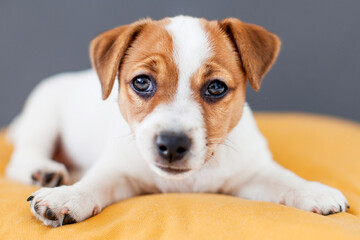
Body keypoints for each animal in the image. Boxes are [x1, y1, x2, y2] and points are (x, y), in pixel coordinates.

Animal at [4, 15, 348, 227]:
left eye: (216, 88)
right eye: (142, 82)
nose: (172, 144)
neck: (186, 181)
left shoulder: (252, 173)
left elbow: (283, 178)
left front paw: (313, 190)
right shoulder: (119, 170)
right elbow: (95, 182)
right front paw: (68, 196)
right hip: (43, 114)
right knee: (22, 158)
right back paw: (45, 172)